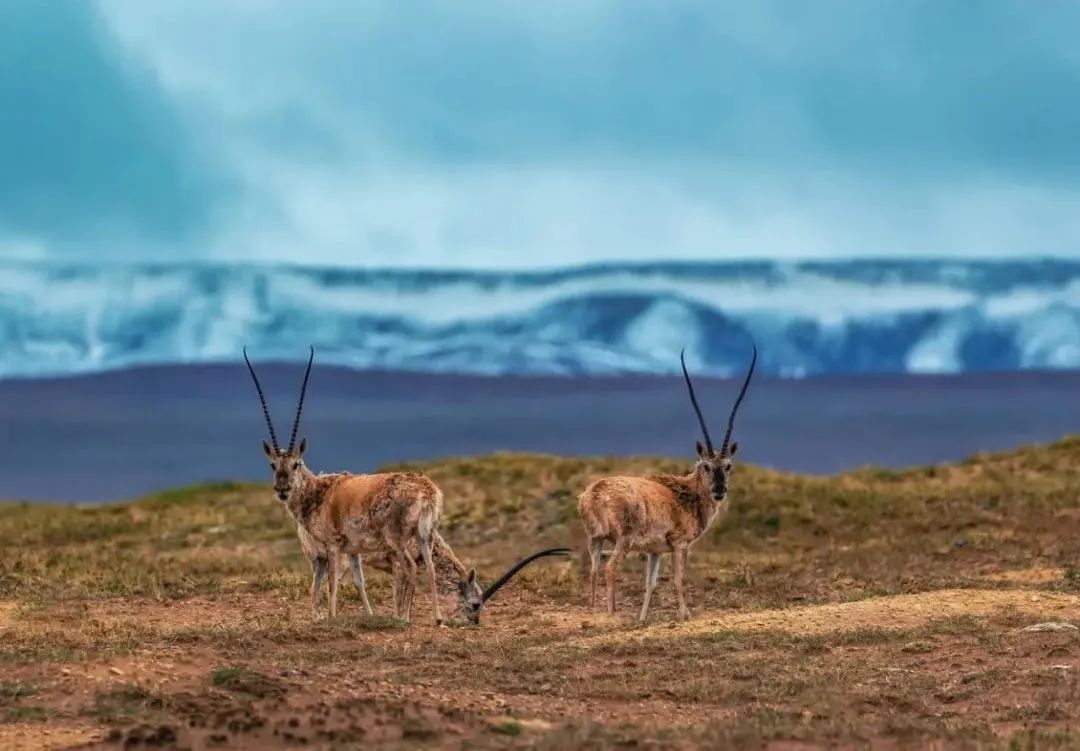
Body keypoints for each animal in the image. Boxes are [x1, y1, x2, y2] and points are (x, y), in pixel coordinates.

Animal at [578, 345, 756, 622]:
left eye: (728, 465)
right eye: (706, 465)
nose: (719, 491)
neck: (687, 494)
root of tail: (595, 493)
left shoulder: (655, 551)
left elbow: (650, 583)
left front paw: (642, 618)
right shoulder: (680, 545)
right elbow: (679, 580)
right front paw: (685, 615)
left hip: (595, 539)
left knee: (594, 570)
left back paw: (595, 609)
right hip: (622, 540)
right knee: (610, 568)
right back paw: (612, 613)